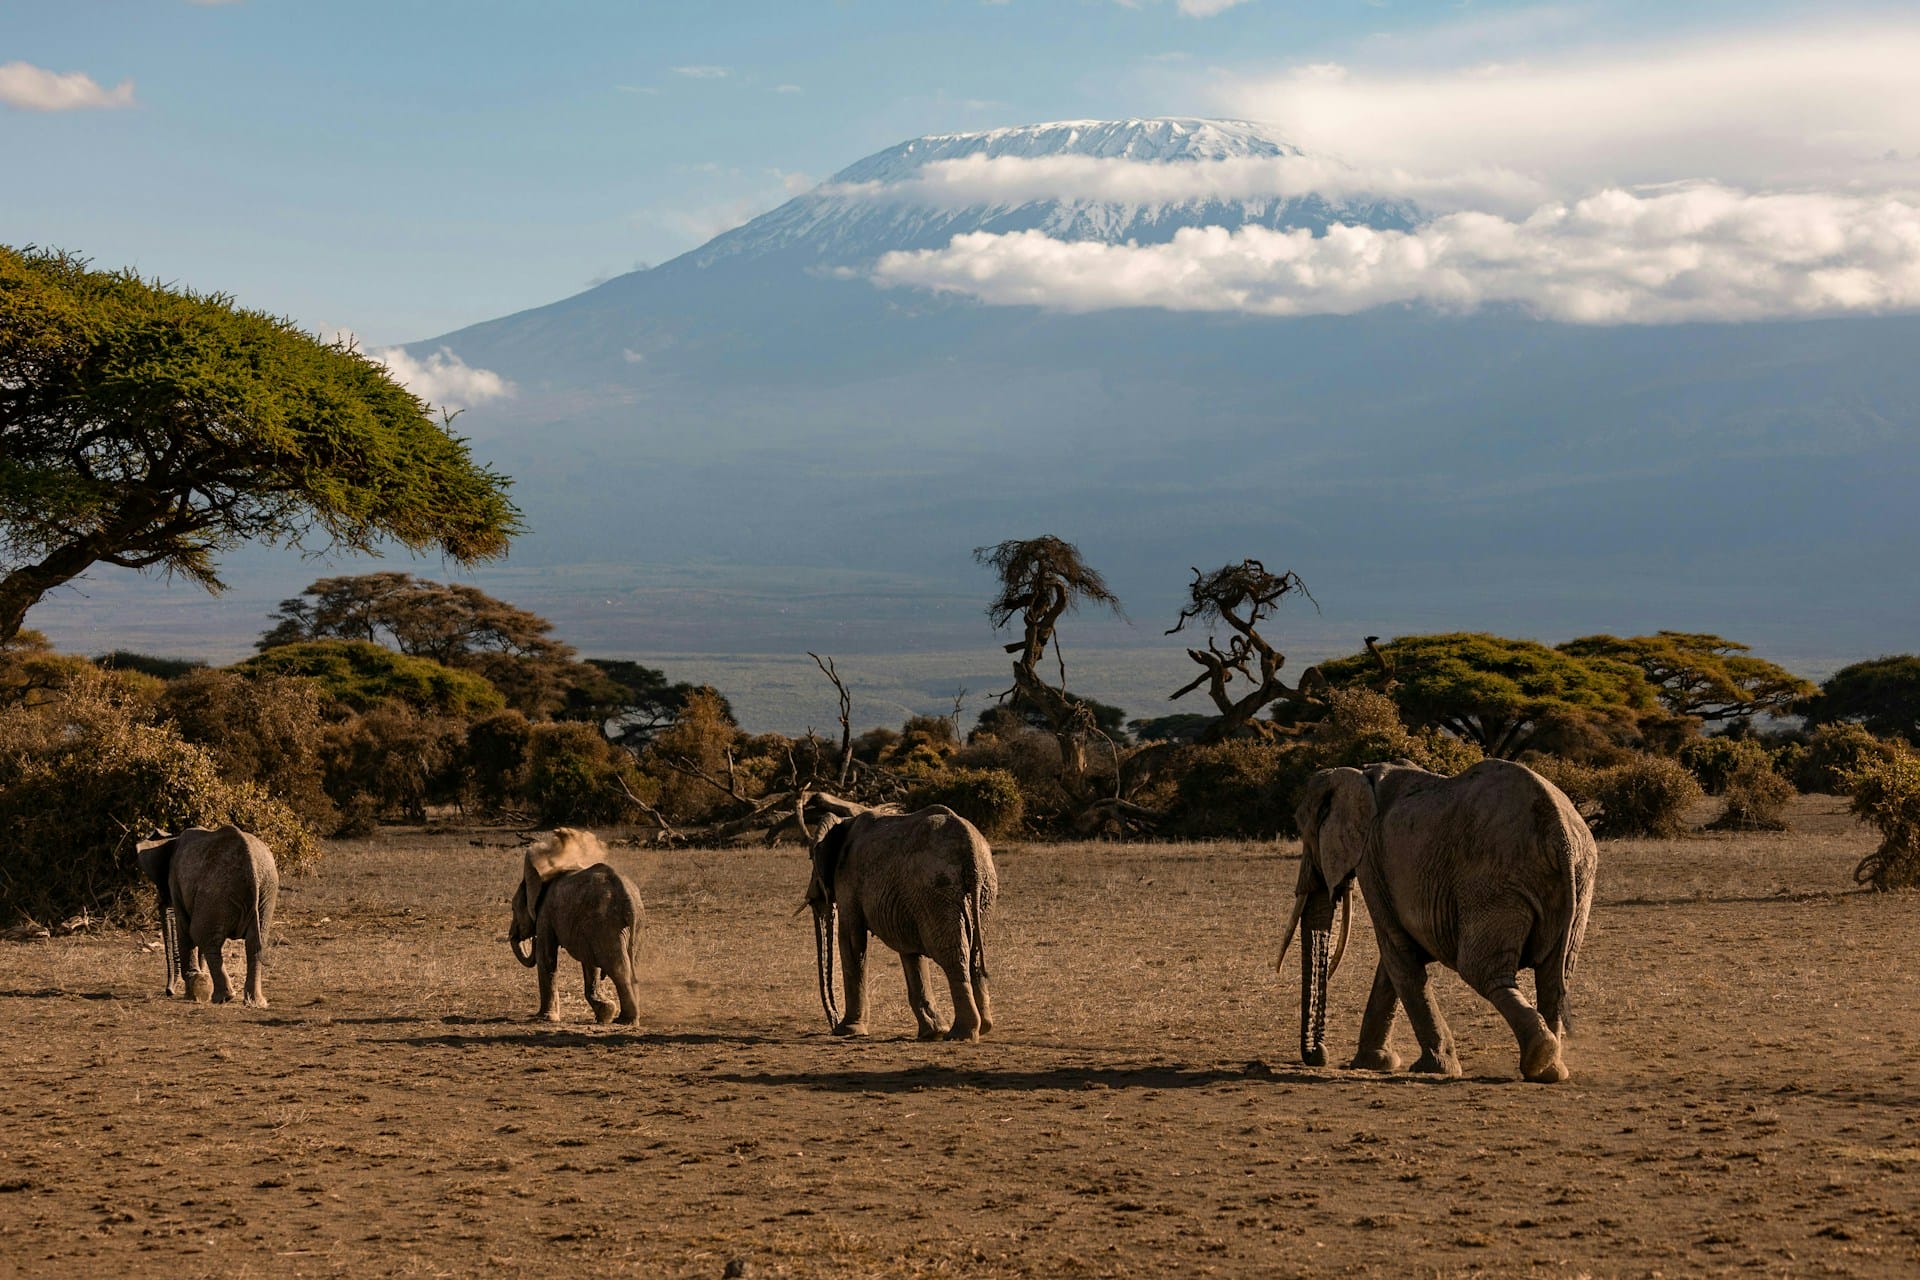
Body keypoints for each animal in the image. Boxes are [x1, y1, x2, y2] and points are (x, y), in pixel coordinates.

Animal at [136, 825, 279, 1008]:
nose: (169, 992)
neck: (172, 838)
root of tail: (251, 865)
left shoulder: (176, 880)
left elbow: (185, 929)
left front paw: (192, 991)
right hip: (266, 890)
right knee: (253, 943)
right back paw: (255, 1002)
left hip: (217, 890)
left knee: (202, 936)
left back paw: (223, 998)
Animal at [508, 828, 643, 1025]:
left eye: (513, 908)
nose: (531, 939)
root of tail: (628, 898)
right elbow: (590, 963)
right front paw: (605, 1014)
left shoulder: (545, 913)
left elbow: (546, 957)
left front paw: (544, 1019)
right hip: (629, 925)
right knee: (631, 964)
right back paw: (625, 1018)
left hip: (606, 922)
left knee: (619, 968)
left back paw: (625, 1020)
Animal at [806, 805, 997, 1042]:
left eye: (811, 858)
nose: (833, 1023)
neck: (844, 821)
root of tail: (970, 847)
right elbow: (909, 950)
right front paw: (932, 1033)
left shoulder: (848, 880)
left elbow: (851, 940)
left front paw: (847, 1031)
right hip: (982, 891)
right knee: (975, 953)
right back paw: (982, 1028)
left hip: (937, 889)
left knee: (952, 955)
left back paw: (960, 1034)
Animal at [1280, 759, 1597, 1083]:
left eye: (1306, 832)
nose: (1319, 1055)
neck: (1358, 774)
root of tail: (1559, 833)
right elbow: (1394, 960)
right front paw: (1375, 1063)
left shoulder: (1371, 860)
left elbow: (1396, 951)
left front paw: (1434, 1068)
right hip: (1578, 879)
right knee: (1554, 976)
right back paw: (1551, 1069)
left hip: (1494, 882)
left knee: (1482, 970)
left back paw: (1539, 1055)